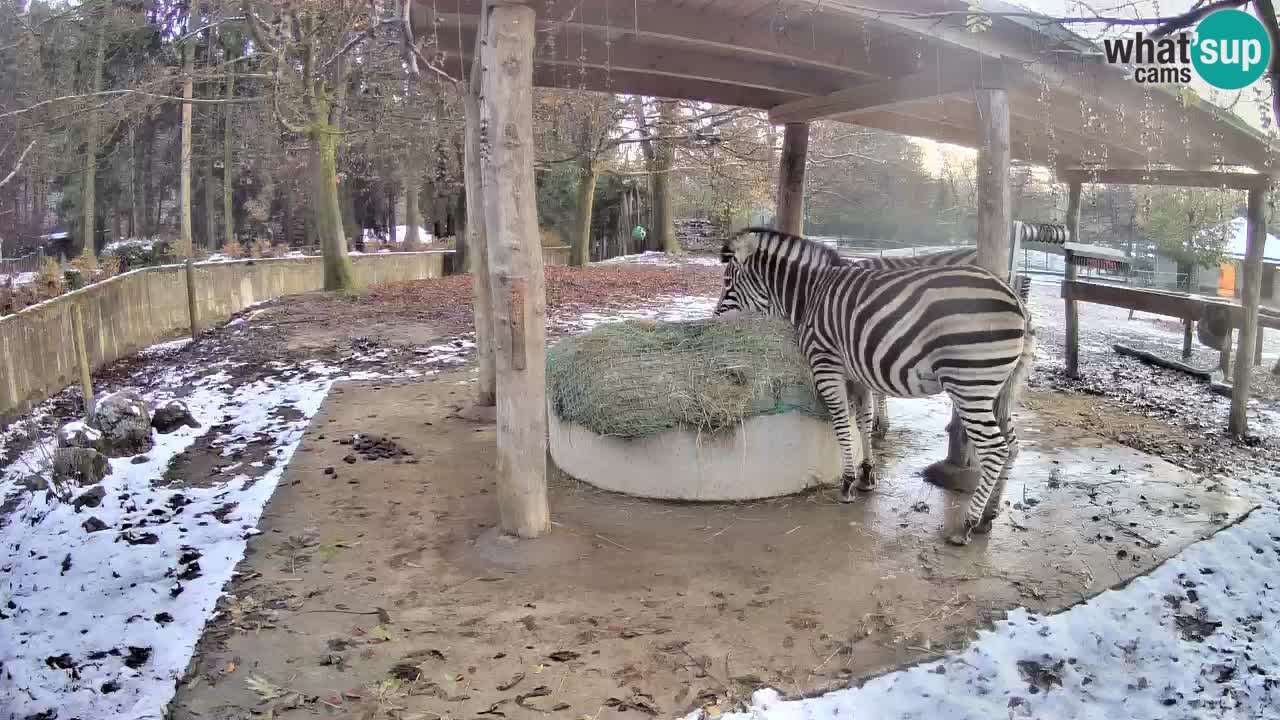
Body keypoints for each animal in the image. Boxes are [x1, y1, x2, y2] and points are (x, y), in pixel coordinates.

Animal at [716, 226, 1034, 540]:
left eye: (728, 281)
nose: (716, 318)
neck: (811, 293)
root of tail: (1017, 300)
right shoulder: (858, 371)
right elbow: (863, 421)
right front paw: (867, 475)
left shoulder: (825, 364)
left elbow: (842, 424)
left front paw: (847, 483)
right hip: (1000, 388)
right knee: (1012, 445)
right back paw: (987, 518)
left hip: (970, 384)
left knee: (995, 448)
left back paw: (966, 525)